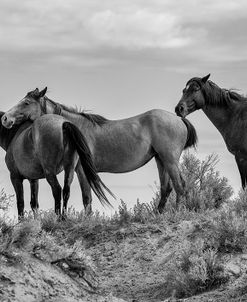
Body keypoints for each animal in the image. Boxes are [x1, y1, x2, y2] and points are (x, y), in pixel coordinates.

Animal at [0, 88, 198, 214]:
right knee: (167, 188)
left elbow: (86, 197)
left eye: (26, 103)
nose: (5, 118)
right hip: (160, 160)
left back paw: (178, 213)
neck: (74, 126)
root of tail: (179, 119)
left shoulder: (80, 169)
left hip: (169, 160)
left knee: (180, 186)